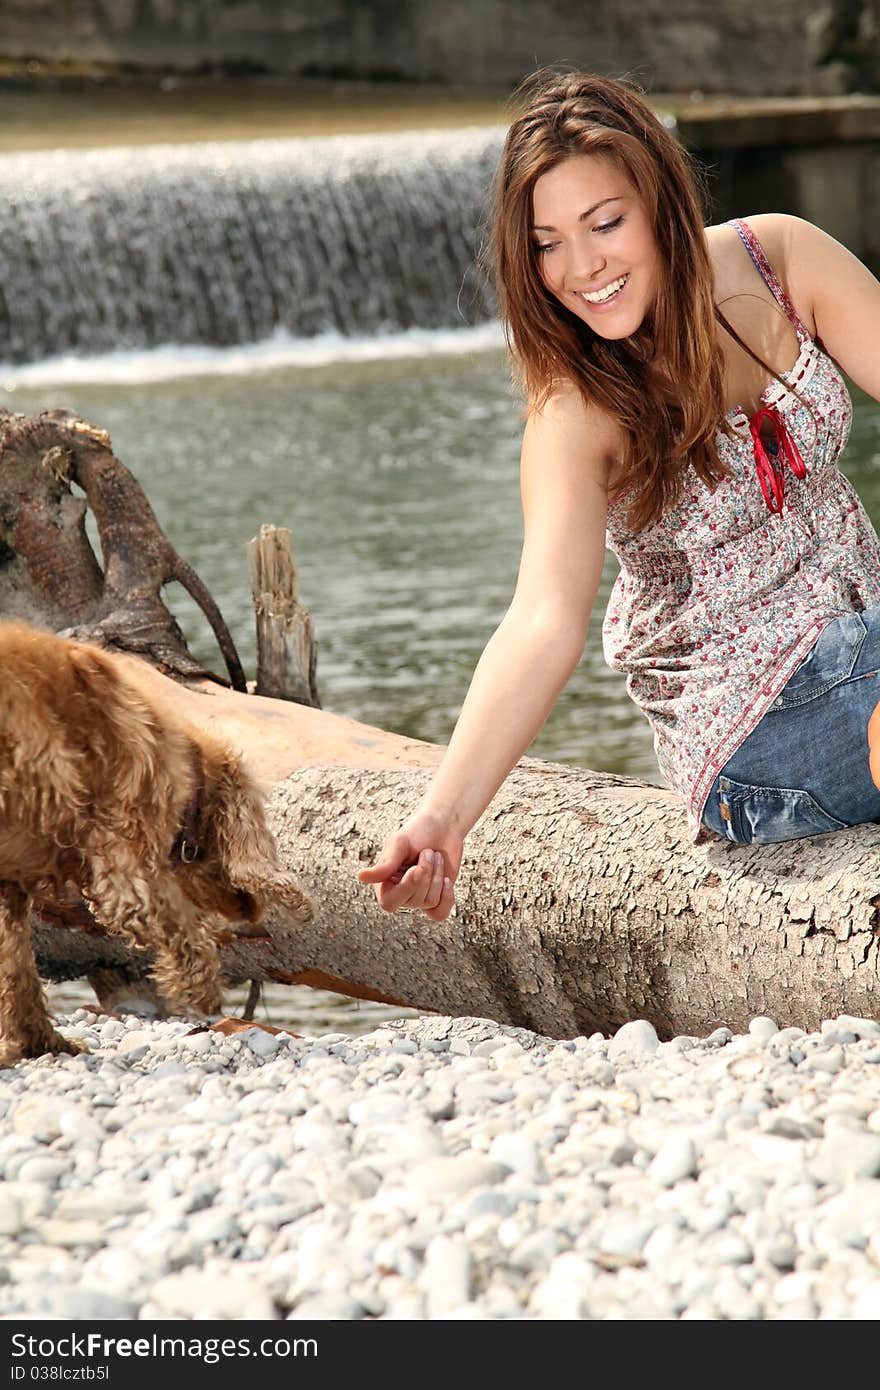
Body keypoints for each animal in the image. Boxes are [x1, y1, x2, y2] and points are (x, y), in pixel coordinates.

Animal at [0, 619, 310, 1061]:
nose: (251, 914)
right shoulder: (127, 870)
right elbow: (187, 931)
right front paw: (203, 994)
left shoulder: (11, 883)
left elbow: (17, 965)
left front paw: (40, 1041)